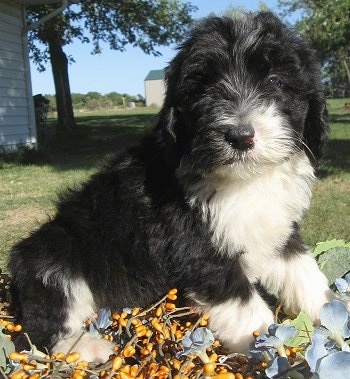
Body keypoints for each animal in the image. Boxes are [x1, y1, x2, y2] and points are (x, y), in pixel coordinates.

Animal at [9, 11, 334, 362]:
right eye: (204, 87)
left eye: (274, 80)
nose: (239, 136)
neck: (244, 180)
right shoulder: (198, 251)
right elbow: (246, 310)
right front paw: (273, 354)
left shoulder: (277, 232)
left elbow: (305, 274)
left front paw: (333, 315)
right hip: (54, 257)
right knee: (45, 324)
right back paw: (86, 346)